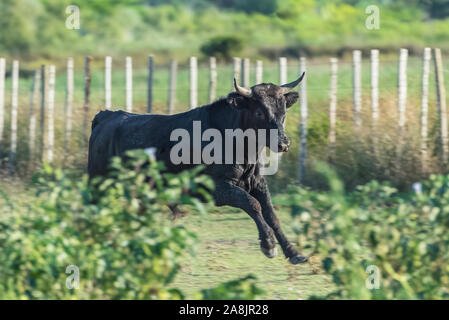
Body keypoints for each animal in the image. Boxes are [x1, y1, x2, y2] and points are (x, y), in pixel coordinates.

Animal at [86, 75, 308, 264]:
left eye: (283, 113)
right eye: (259, 112)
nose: (283, 144)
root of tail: (107, 116)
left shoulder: (257, 183)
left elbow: (271, 214)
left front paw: (293, 252)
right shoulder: (218, 189)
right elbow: (253, 205)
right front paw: (268, 245)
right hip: (97, 186)